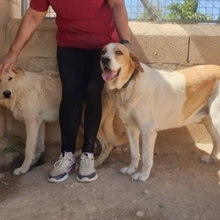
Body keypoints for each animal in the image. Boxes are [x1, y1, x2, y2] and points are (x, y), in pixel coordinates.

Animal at [100, 43, 220, 182]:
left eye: (118, 52)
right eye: (102, 52)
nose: (104, 59)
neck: (129, 83)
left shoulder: (148, 130)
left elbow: (146, 157)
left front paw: (143, 175)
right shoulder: (130, 128)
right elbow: (134, 153)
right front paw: (131, 169)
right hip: (209, 120)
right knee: (216, 140)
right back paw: (210, 158)